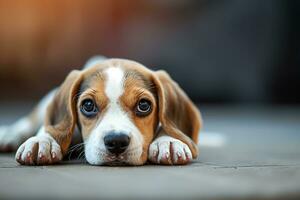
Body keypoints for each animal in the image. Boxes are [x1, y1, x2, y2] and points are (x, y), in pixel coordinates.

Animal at [0, 56, 203, 166]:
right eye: (88, 105)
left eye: (144, 105)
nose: (117, 141)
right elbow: (49, 129)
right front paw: (43, 141)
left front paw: (168, 140)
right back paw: (8, 135)